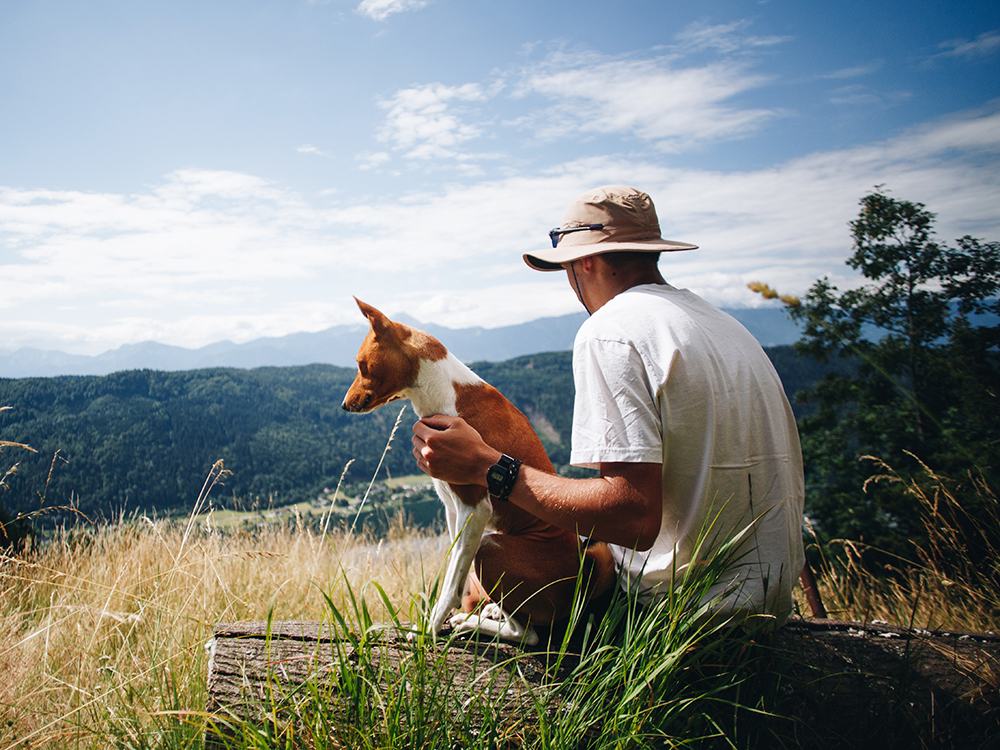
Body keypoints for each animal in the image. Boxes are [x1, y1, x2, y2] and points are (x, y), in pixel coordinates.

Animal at [340, 300, 612, 648]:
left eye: (362, 365)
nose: (344, 405)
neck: (446, 394)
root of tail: (581, 578)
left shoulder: (474, 509)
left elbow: (450, 585)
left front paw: (429, 629)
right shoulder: (452, 509)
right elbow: (453, 570)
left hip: (491, 548)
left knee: (526, 634)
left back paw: (473, 623)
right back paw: (491, 611)